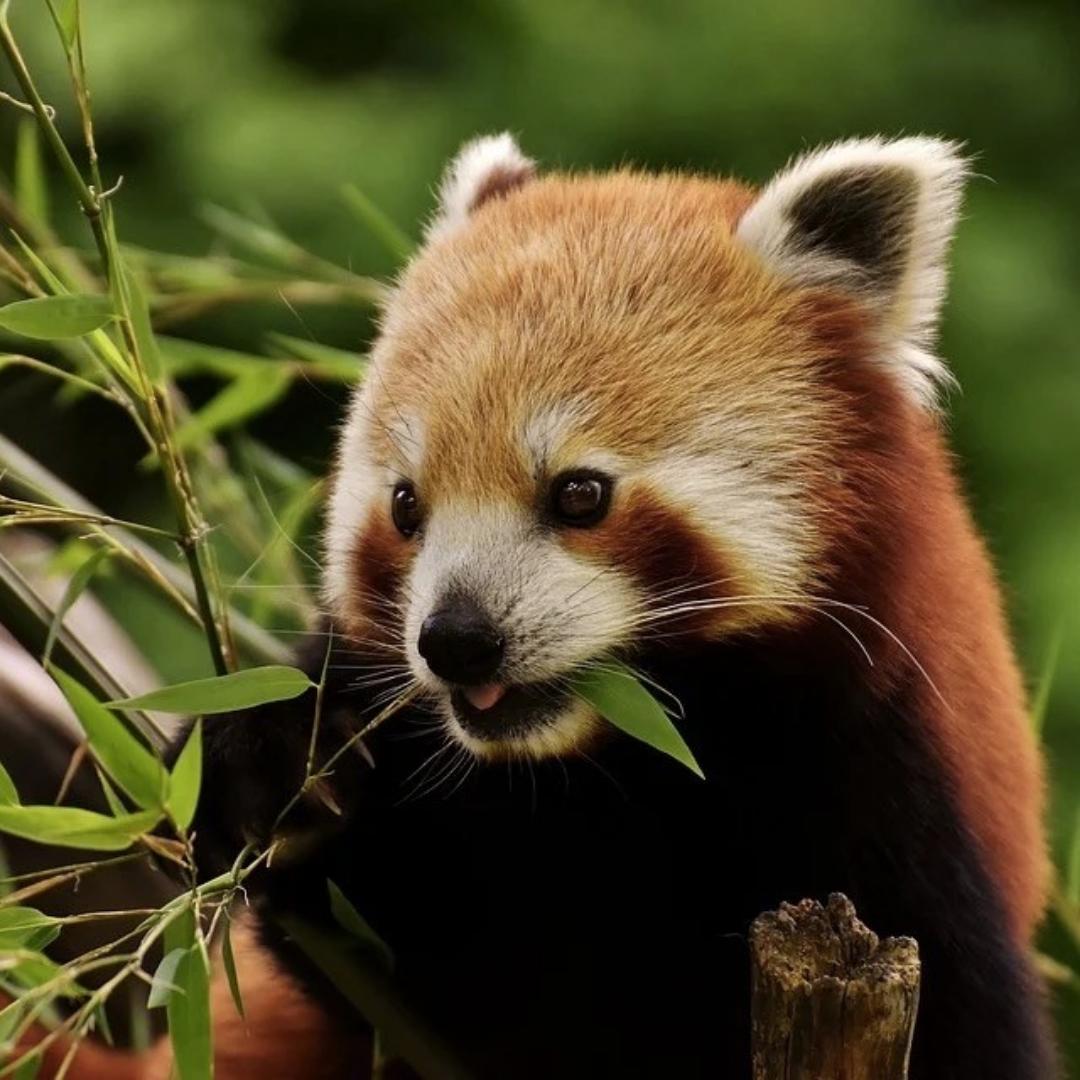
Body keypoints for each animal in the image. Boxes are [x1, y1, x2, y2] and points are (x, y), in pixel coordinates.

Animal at [27, 135, 1054, 1080]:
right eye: (406, 506)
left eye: (579, 494)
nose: (456, 641)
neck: (602, 772)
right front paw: (273, 758)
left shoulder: (887, 800)